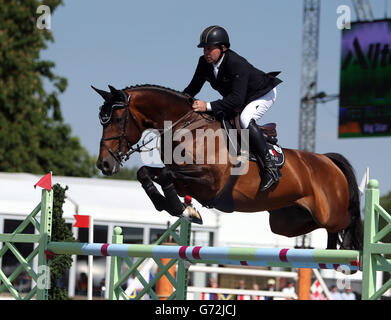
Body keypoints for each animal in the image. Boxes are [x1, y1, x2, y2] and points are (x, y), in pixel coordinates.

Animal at [92, 84, 364, 251]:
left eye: (117, 119)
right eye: (101, 121)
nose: (104, 164)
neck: (187, 128)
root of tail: (327, 160)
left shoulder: (209, 181)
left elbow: (166, 174)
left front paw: (184, 210)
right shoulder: (184, 183)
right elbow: (146, 173)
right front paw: (178, 208)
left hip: (330, 212)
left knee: (348, 220)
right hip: (288, 222)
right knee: (326, 230)